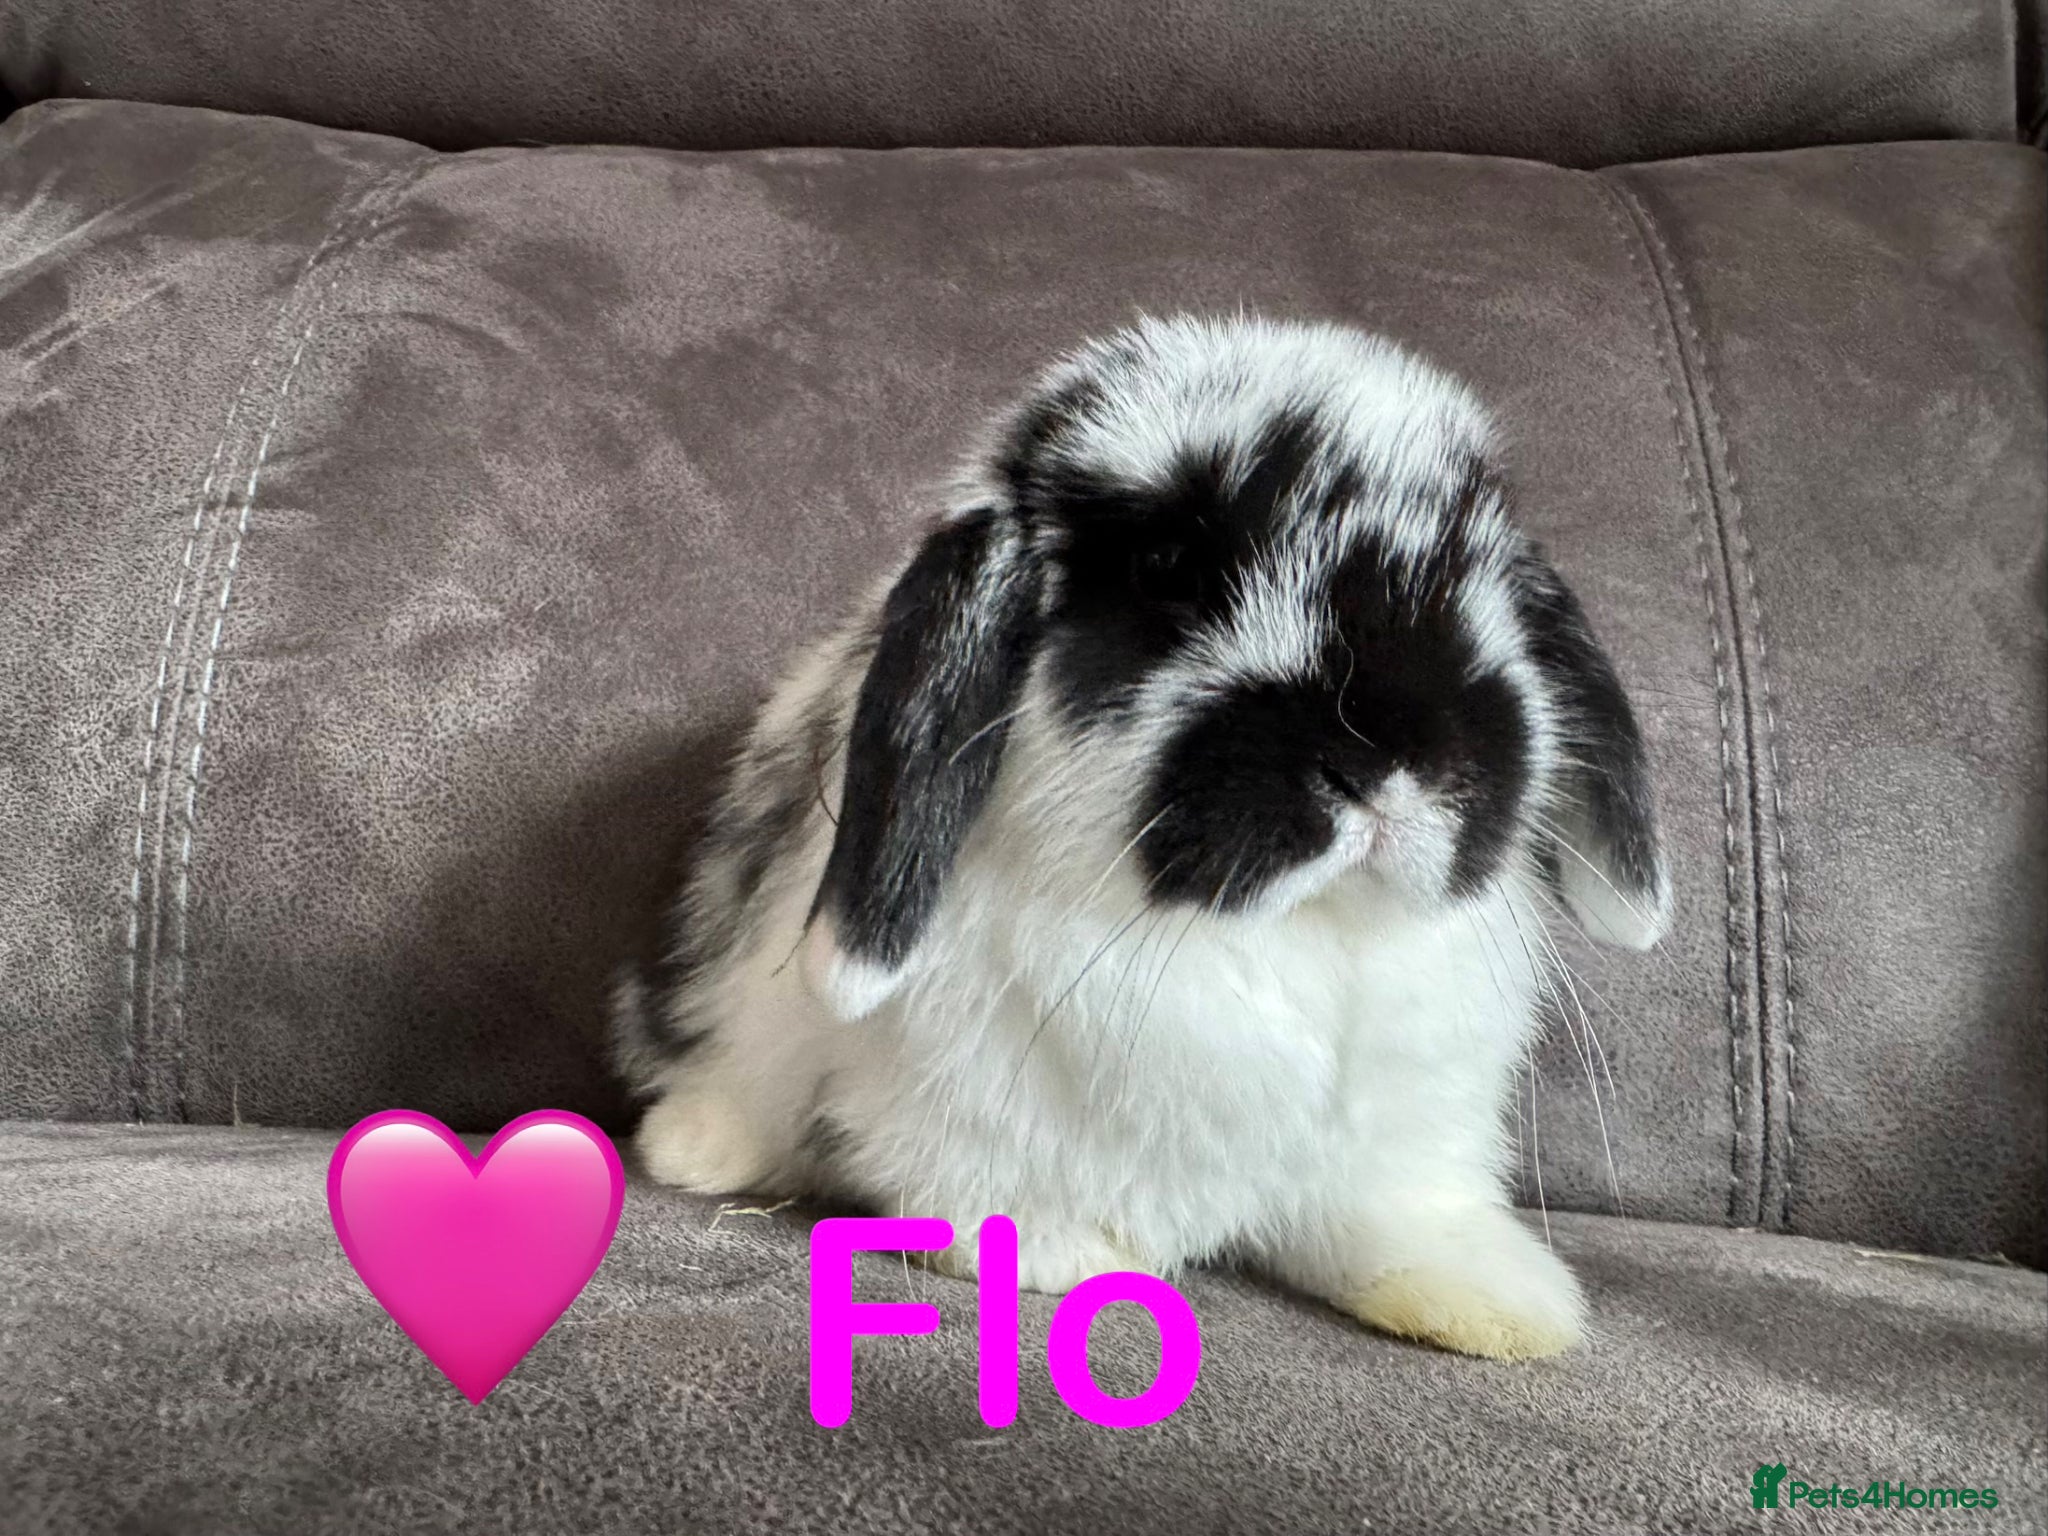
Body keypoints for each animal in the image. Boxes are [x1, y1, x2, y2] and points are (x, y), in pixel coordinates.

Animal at [612, 312, 1670, 1360]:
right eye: (1168, 570)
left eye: (1475, 574)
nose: (1395, 753)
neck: (1288, 932)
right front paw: (1058, 1253)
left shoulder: (1387, 1141)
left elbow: (1389, 1221)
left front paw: (1502, 1305)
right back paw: (695, 1146)